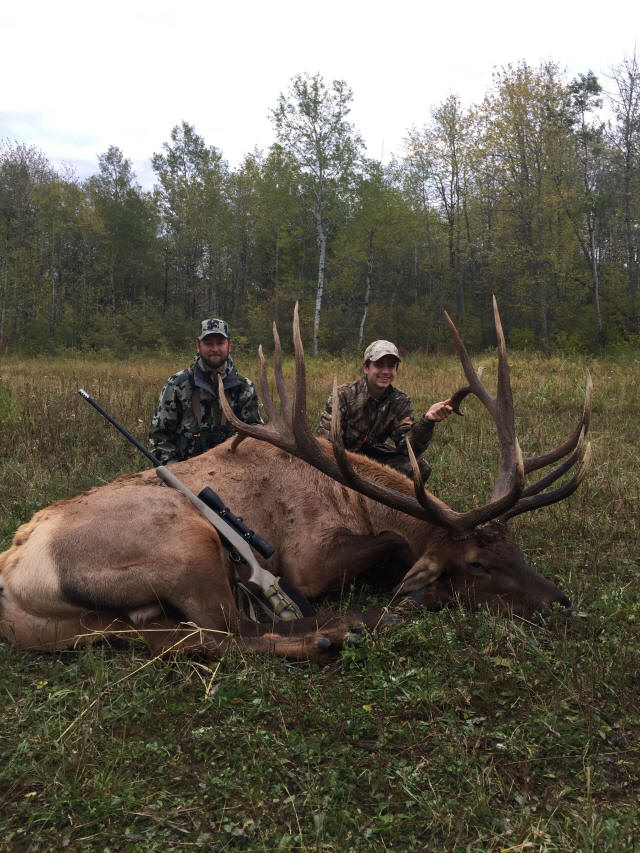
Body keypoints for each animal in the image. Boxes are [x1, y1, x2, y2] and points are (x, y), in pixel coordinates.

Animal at [0, 299, 592, 662]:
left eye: (515, 548)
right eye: (477, 563)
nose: (560, 602)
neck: (353, 501)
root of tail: (12, 577)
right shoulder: (306, 563)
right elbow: (391, 544)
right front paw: (414, 592)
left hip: (101, 620)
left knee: (180, 637)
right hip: (185, 542)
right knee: (228, 632)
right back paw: (345, 628)